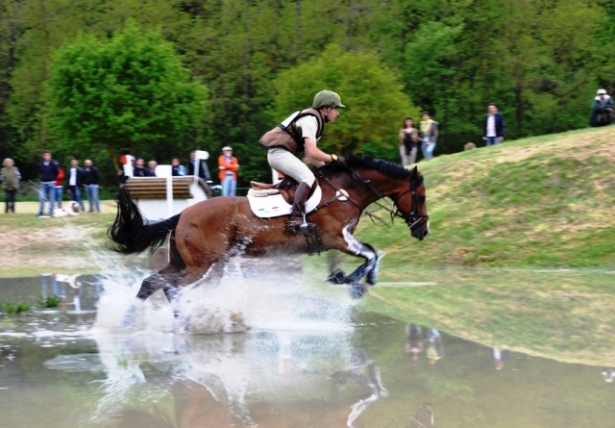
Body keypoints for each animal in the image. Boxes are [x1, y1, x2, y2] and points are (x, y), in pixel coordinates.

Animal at [108, 155, 430, 310]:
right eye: (422, 196)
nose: (424, 230)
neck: (344, 191)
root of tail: (183, 215)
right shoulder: (337, 238)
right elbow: (371, 254)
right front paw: (358, 283)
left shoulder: (337, 241)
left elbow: (365, 256)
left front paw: (343, 278)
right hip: (199, 266)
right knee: (170, 287)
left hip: (188, 263)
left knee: (152, 283)